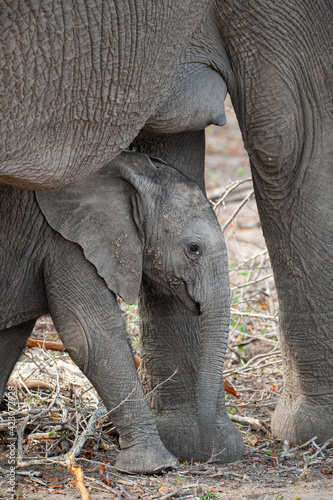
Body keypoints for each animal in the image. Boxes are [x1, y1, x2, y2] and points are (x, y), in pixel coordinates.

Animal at [0, 151, 239, 472]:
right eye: (193, 249)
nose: (206, 454)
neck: (129, 171)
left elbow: (9, 339)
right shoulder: (67, 241)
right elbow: (91, 338)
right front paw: (155, 466)